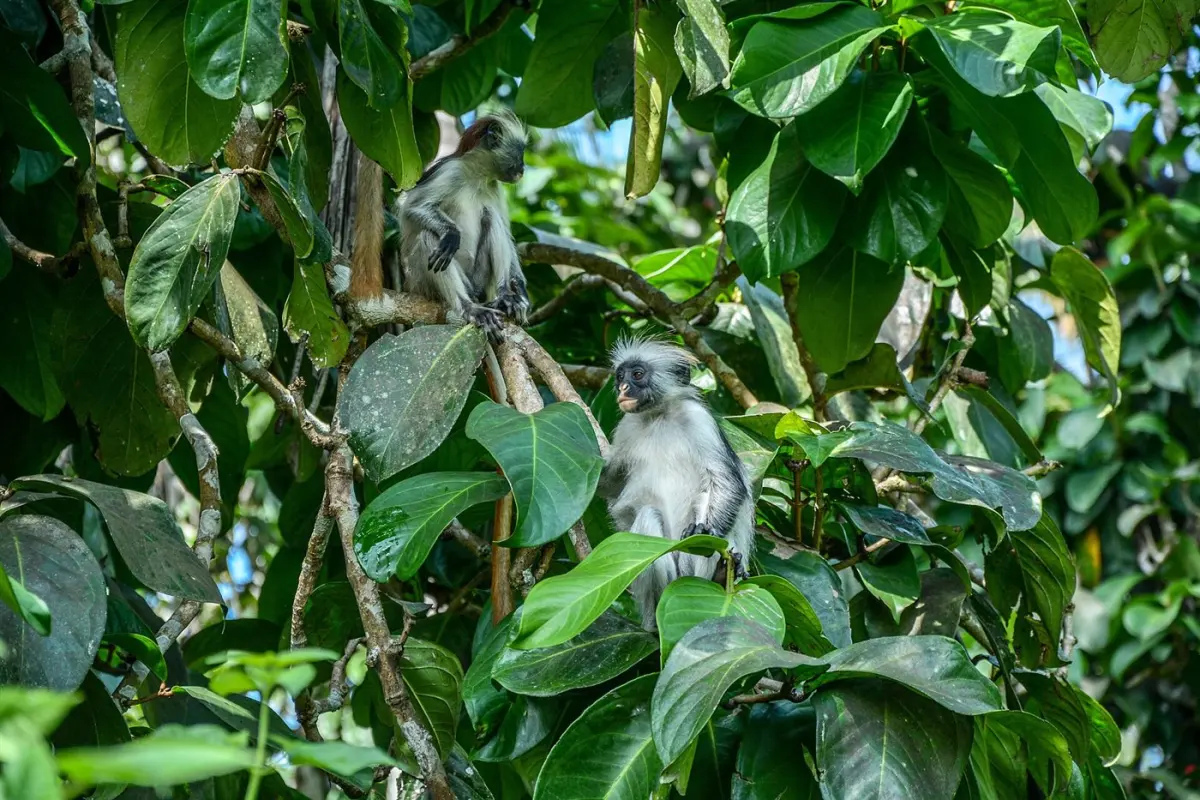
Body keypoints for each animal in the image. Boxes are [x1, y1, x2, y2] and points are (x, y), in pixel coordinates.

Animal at [397, 109, 531, 339]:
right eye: (520, 154)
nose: (523, 168)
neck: (478, 176)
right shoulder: (452, 170)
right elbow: (412, 208)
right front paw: (452, 234)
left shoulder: (495, 187)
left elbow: (506, 232)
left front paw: (520, 292)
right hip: (421, 282)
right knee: (429, 236)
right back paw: (470, 308)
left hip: (478, 281)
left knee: (491, 217)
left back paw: (505, 296)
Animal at [599, 337, 755, 632]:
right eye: (620, 376)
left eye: (638, 374)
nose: (623, 388)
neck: (658, 416)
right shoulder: (626, 428)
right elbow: (609, 486)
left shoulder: (698, 419)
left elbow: (727, 482)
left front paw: (706, 529)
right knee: (647, 516)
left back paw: (718, 576)